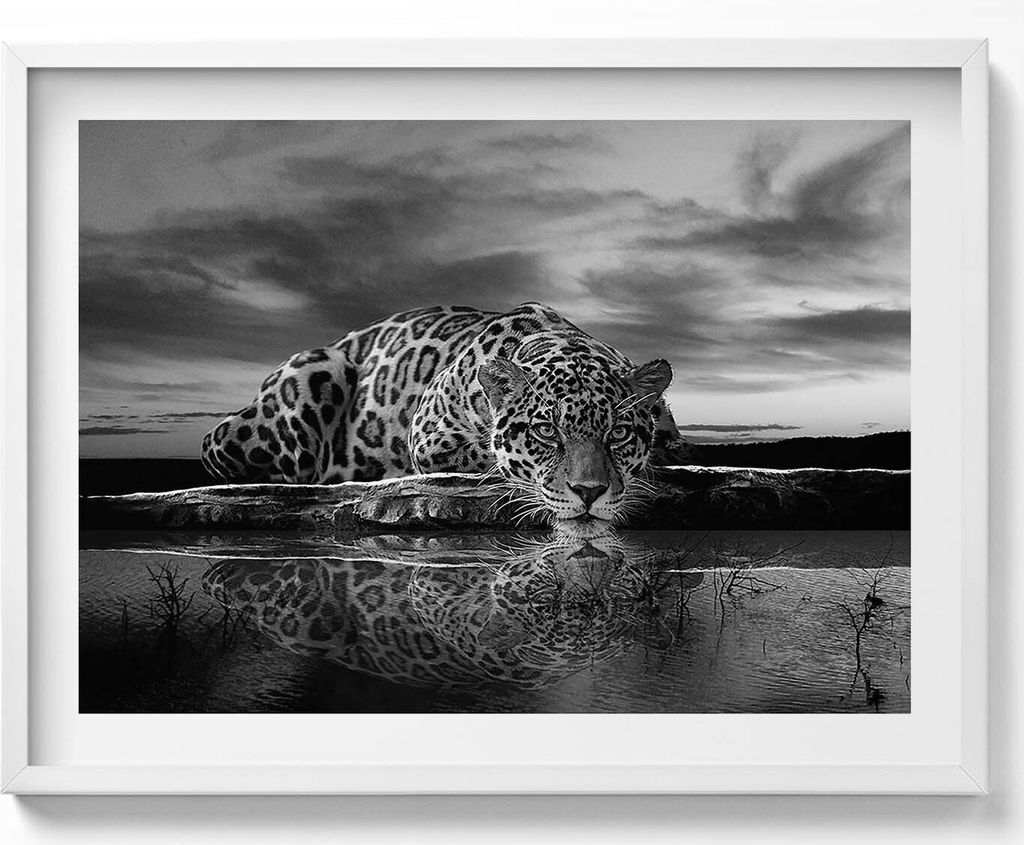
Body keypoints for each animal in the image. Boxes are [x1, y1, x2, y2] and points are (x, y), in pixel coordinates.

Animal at [201, 302, 687, 522]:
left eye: (618, 433)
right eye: (546, 433)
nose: (590, 493)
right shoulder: (429, 437)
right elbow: (491, 457)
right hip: (315, 373)